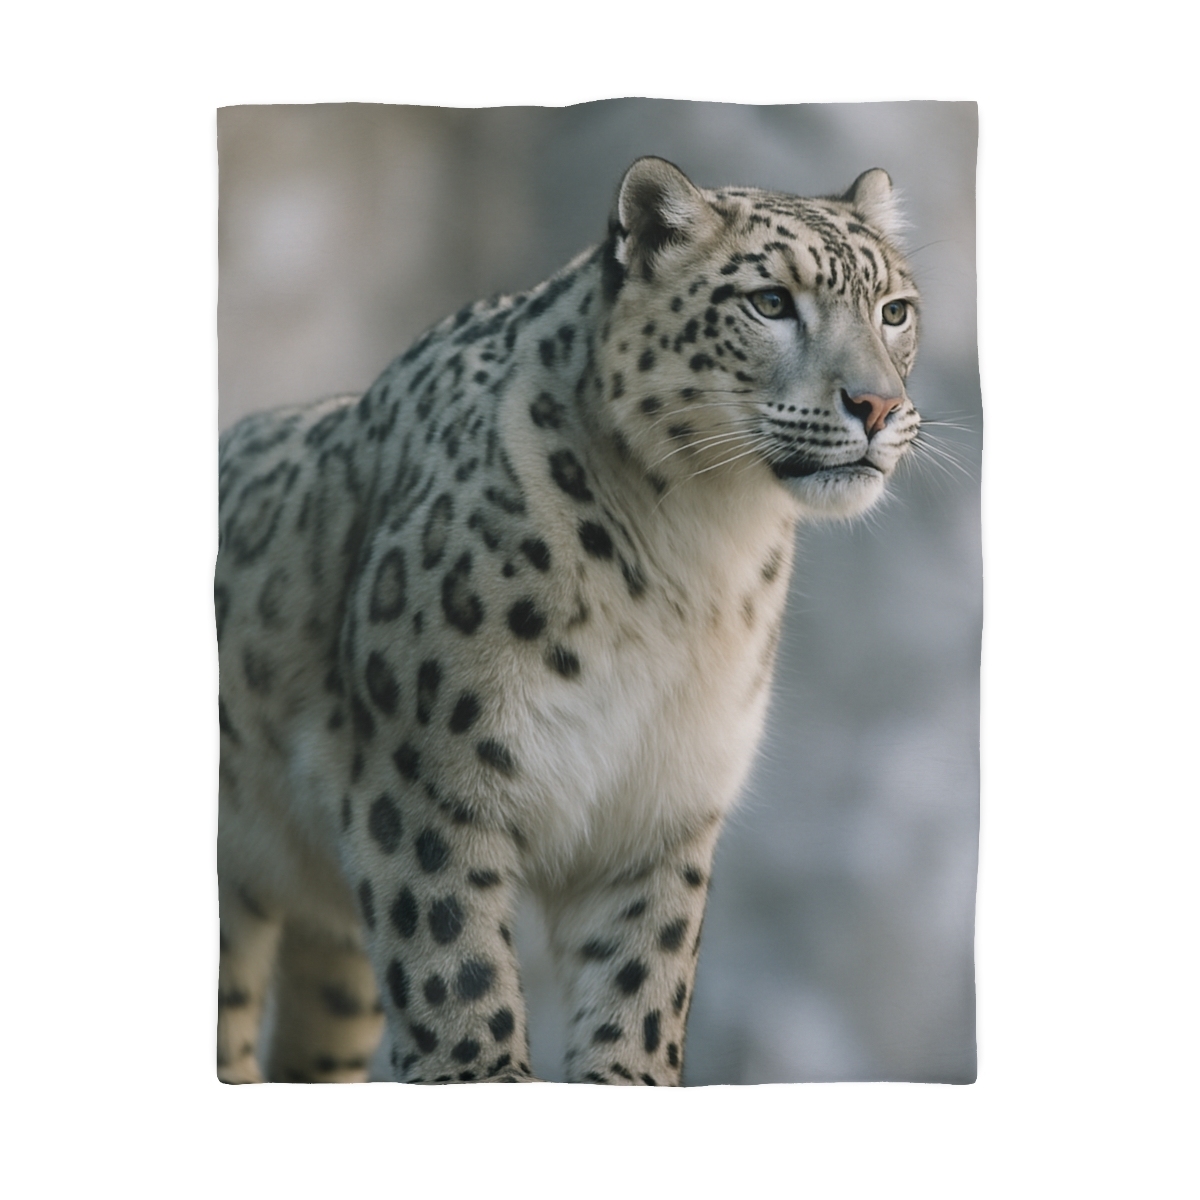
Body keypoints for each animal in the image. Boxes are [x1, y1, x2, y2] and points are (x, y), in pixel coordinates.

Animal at [215, 156, 922, 1085]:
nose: (877, 406)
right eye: (770, 302)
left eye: (895, 310)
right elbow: (456, 970)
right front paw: (480, 1069)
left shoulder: (660, 812)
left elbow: (641, 986)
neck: (699, 556)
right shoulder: (426, 784)